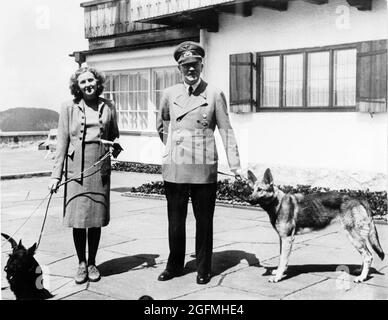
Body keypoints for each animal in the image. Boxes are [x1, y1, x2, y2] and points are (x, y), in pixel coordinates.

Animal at [246, 169, 384, 282]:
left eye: (260, 190)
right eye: (252, 189)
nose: (248, 199)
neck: (278, 203)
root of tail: (358, 198)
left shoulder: (287, 239)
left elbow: (283, 259)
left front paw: (278, 276)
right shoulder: (282, 239)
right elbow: (281, 258)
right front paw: (279, 272)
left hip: (353, 237)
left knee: (368, 256)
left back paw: (362, 277)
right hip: (357, 238)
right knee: (366, 255)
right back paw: (360, 272)